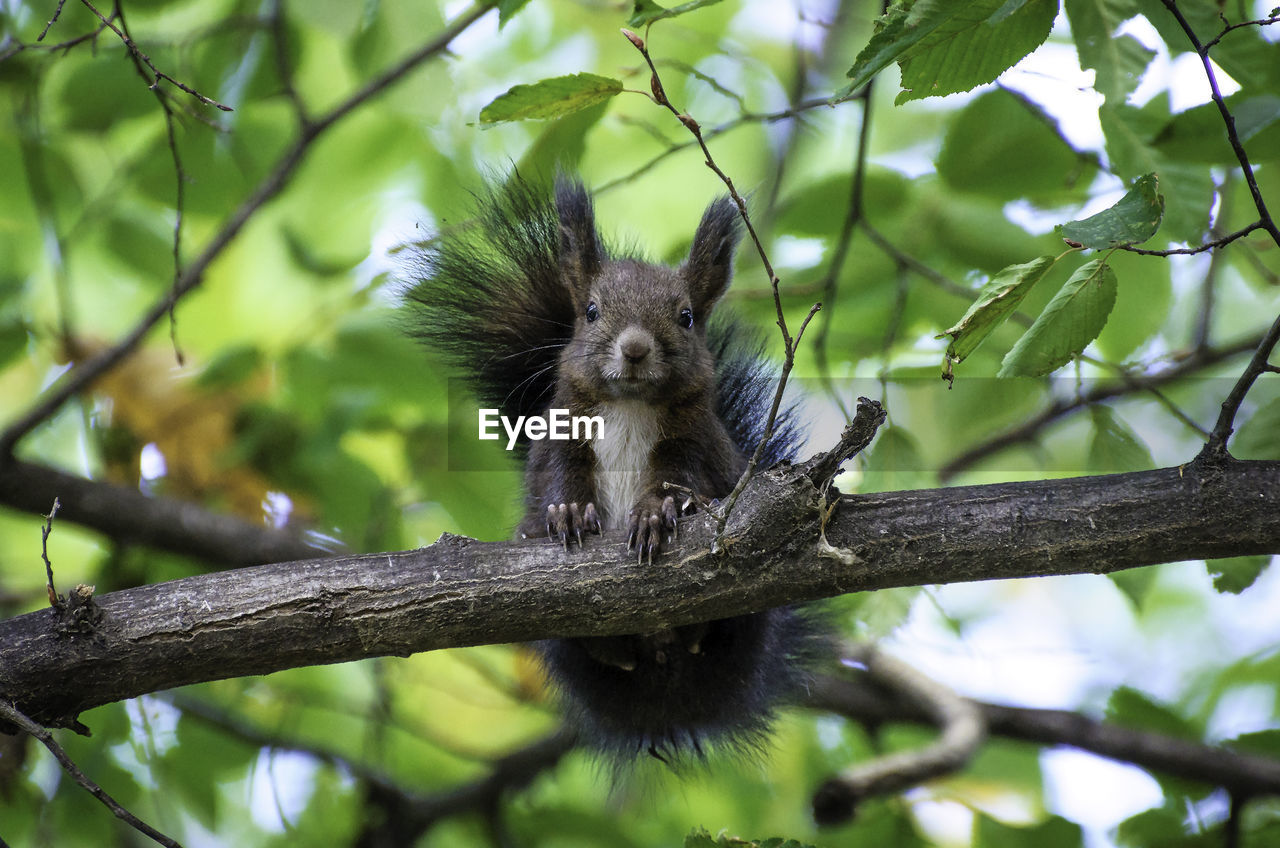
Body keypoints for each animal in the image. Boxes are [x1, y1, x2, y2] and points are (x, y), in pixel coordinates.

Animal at [409, 175, 829, 768]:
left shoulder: (694, 447)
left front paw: (656, 514)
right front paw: (564, 514)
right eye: (590, 310)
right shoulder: (559, 439)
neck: (629, 407)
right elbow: (559, 479)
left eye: (686, 316)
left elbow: (686, 485)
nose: (634, 348)